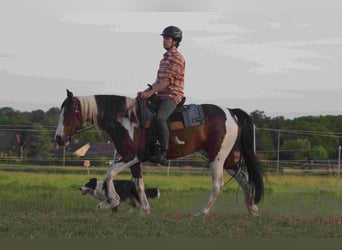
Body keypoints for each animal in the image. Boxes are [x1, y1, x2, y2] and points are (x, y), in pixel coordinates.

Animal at [55, 90, 264, 217]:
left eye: (69, 113)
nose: (58, 138)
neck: (126, 119)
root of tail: (230, 112)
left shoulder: (132, 156)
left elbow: (109, 174)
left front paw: (114, 202)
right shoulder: (135, 161)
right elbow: (138, 184)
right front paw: (145, 209)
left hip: (217, 158)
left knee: (218, 185)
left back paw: (202, 212)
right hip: (226, 159)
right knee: (244, 178)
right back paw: (252, 208)